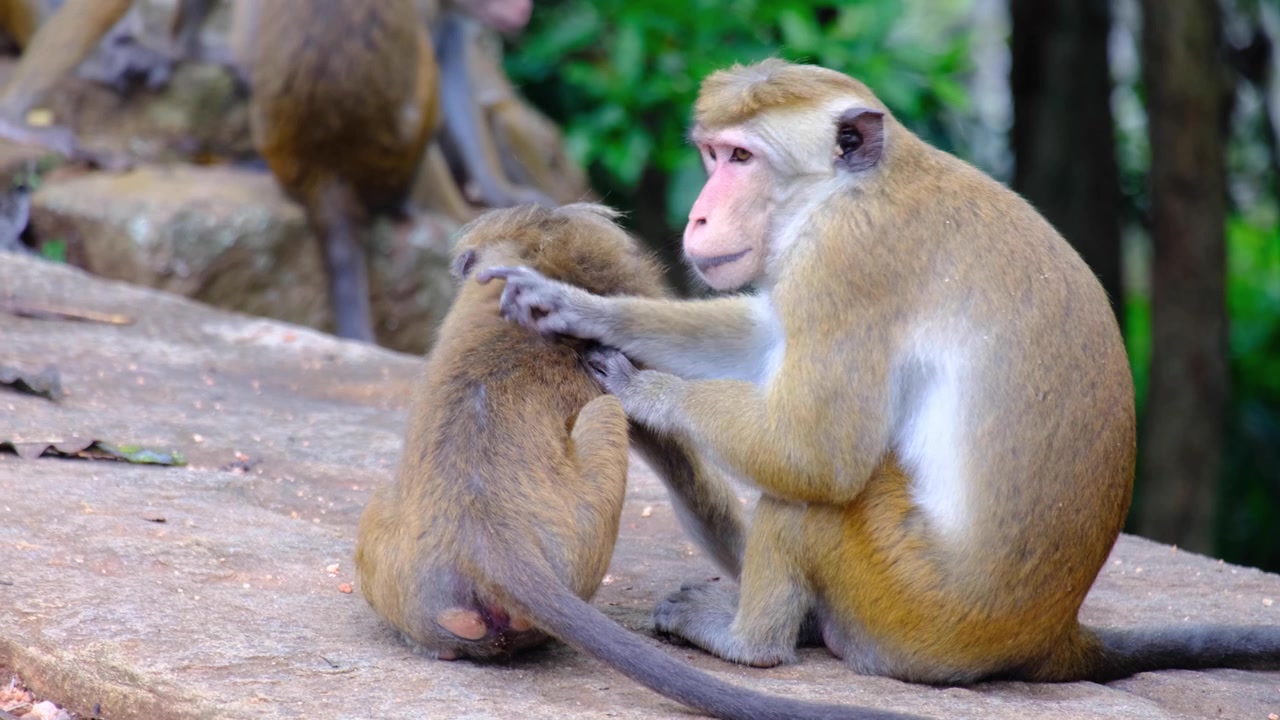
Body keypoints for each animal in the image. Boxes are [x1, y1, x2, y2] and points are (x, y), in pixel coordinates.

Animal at [477, 59, 1280, 685]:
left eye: (742, 159)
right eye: (711, 155)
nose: (699, 218)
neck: (847, 190)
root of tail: (1053, 634)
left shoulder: (846, 259)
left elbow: (817, 453)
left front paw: (646, 392)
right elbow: (763, 337)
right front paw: (574, 307)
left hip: (911, 604)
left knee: (813, 498)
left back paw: (748, 643)